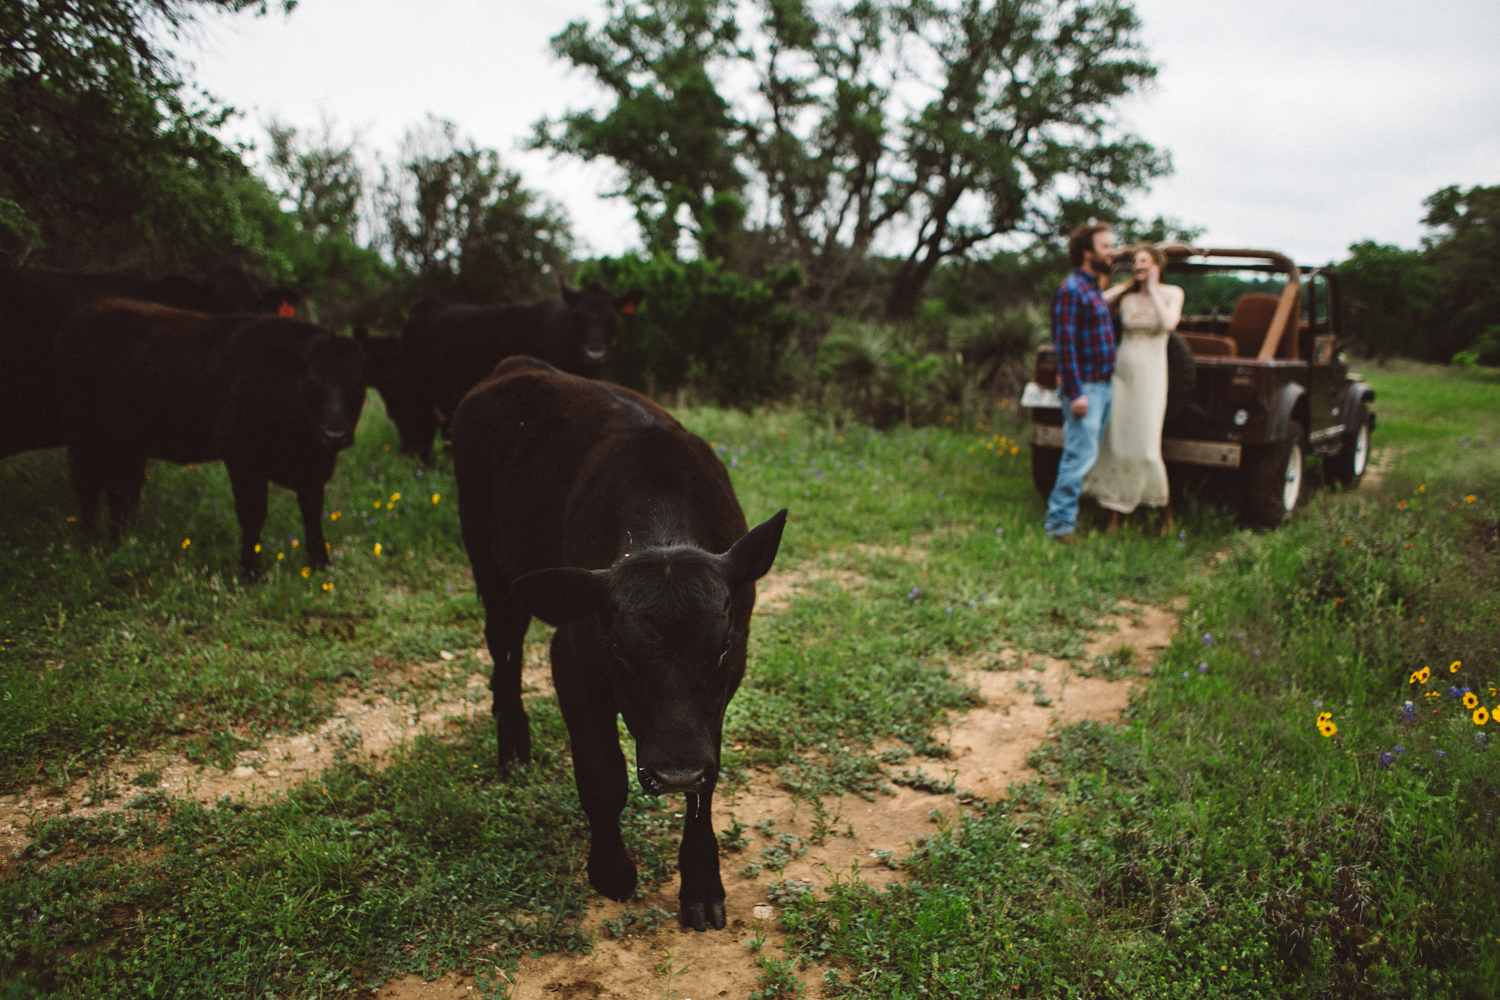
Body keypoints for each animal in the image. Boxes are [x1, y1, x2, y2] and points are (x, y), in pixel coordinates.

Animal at [57, 299, 366, 578]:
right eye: (312, 384)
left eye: (357, 383)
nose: (335, 434)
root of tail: (88, 311)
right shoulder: (243, 460)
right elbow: (253, 515)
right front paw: (251, 573)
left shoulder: (313, 470)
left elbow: (312, 516)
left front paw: (321, 565)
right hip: (87, 438)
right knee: (89, 492)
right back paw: (90, 549)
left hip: (126, 444)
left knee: (123, 494)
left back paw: (123, 547)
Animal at [450, 358, 786, 929]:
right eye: (619, 653)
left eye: (720, 649)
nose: (676, 772)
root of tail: (517, 366)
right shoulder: (571, 662)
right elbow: (602, 775)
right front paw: (611, 871)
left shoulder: (723, 690)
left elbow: (708, 782)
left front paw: (701, 882)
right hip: (489, 563)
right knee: (504, 647)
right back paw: (512, 745)